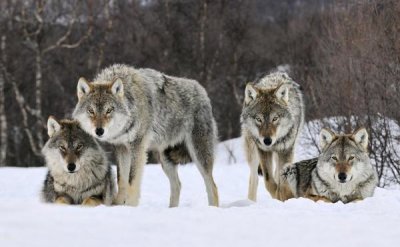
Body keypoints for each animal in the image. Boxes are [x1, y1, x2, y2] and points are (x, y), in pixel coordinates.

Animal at [73, 63, 220, 206]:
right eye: (91, 111)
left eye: (109, 110)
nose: (99, 131)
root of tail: (202, 91)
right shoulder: (121, 148)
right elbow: (122, 180)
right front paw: (118, 205)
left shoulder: (137, 147)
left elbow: (132, 181)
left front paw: (130, 206)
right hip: (165, 159)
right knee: (177, 185)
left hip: (199, 155)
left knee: (212, 186)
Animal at [241, 71, 304, 201]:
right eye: (258, 119)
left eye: (275, 118)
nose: (267, 141)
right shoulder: (263, 150)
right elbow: (268, 180)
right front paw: (277, 195)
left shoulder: (286, 150)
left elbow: (281, 179)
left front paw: (282, 196)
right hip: (253, 152)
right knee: (254, 179)